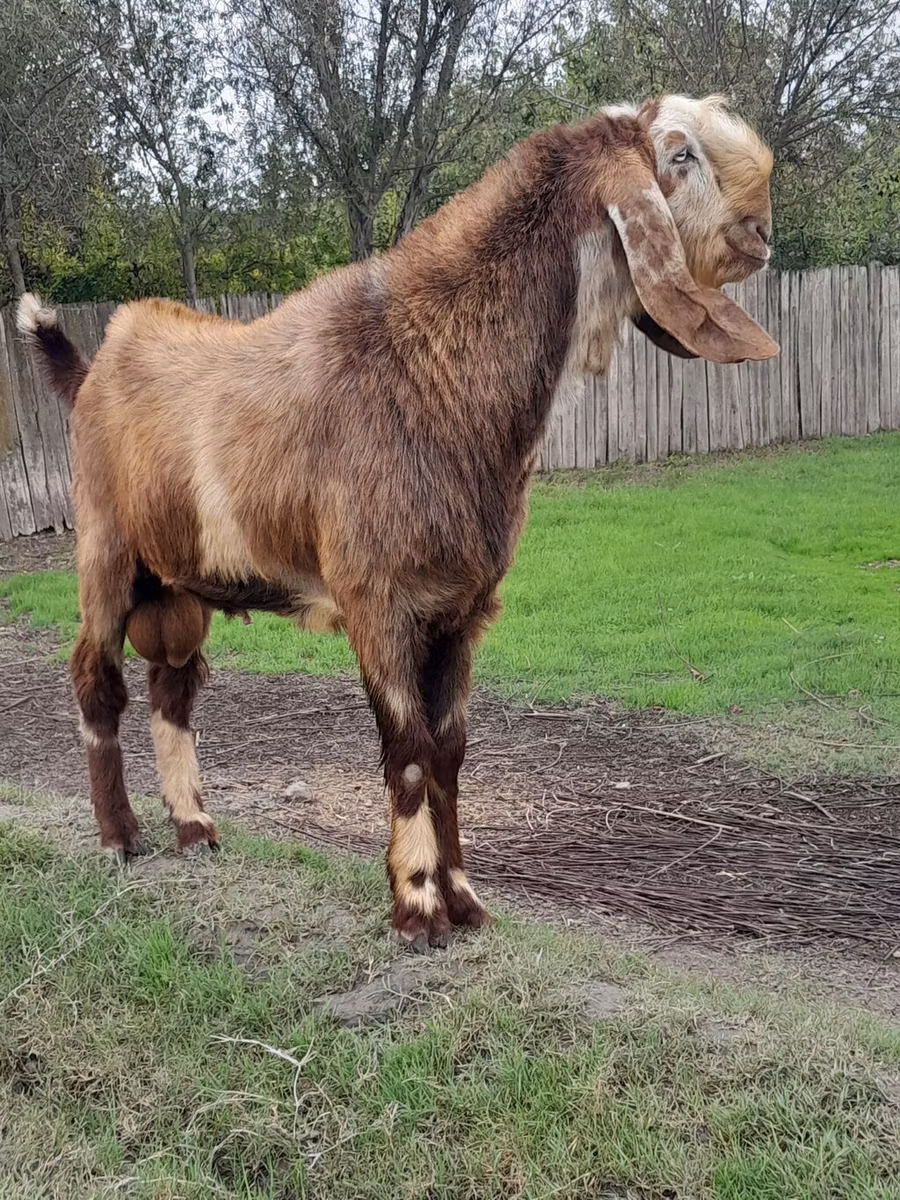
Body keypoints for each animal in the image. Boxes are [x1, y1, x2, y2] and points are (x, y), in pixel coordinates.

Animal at [19, 94, 778, 950]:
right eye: (679, 154)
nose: (761, 233)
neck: (433, 368)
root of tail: (93, 370)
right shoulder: (376, 602)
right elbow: (409, 752)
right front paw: (417, 908)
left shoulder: (463, 610)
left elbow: (448, 754)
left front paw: (466, 900)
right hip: (106, 553)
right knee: (96, 682)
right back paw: (119, 837)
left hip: (180, 583)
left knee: (173, 690)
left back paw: (196, 829)